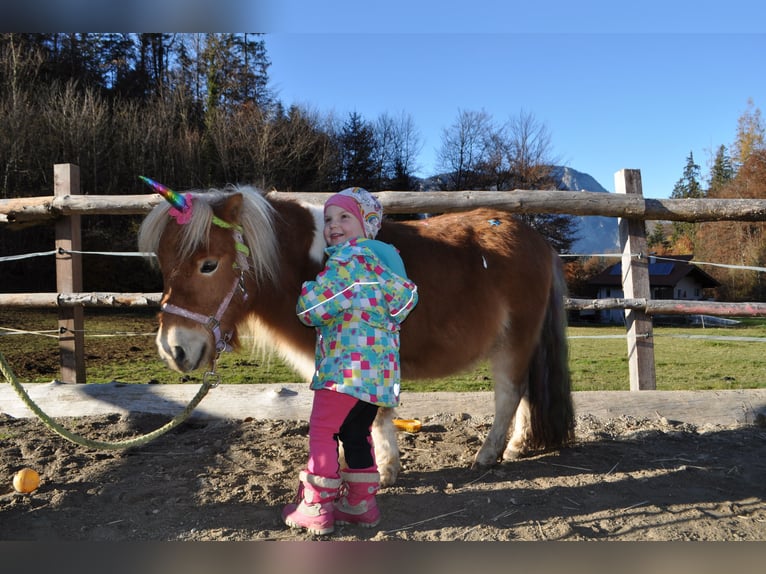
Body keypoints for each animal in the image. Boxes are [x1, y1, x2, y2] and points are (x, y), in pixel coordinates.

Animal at [138, 184, 572, 486]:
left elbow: (374, 415)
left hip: (514, 341)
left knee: (509, 394)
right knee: (524, 393)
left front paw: (382, 471)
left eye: (208, 265)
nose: (173, 349)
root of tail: (538, 242)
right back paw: (516, 446)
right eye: (164, 264)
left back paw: (490, 453)